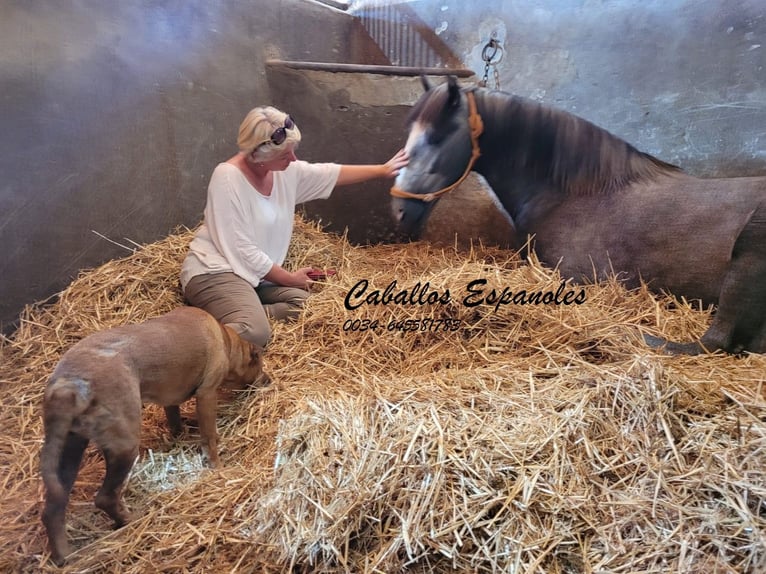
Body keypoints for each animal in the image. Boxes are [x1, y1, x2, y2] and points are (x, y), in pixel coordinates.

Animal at [40, 308, 268, 564]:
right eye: (259, 366)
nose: (268, 380)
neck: (226, 339)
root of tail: (67, 386)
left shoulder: (171, 401)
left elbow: (176, 422)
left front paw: (181, 434)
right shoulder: (207, 393)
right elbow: (209, 437)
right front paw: (217, 467)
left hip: (69, 452)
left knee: (53, 510)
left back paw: (64, 556)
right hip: (124, 446)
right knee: (105, 497)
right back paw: (128, 521)